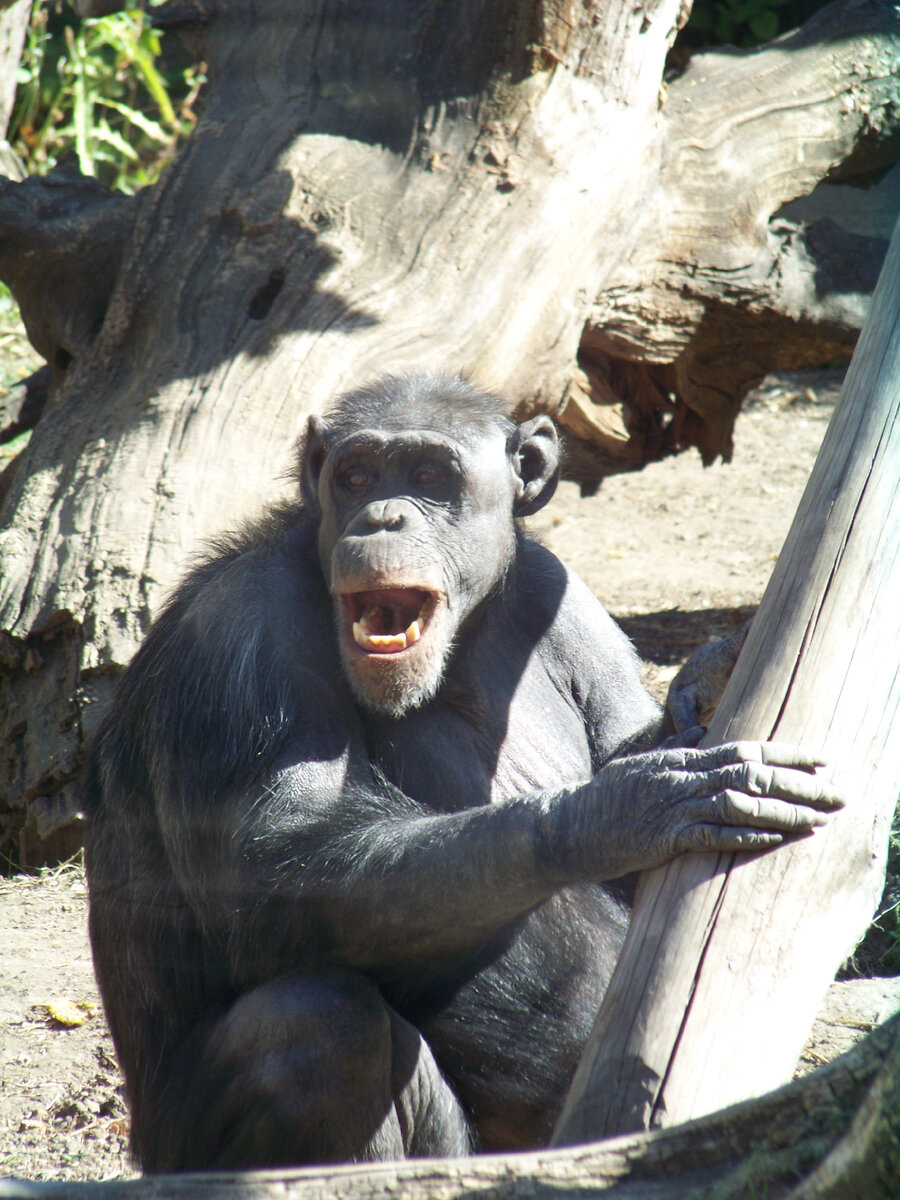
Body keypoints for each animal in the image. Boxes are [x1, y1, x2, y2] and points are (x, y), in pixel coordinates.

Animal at [86, 372, 844, 1171]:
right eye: (355, 477)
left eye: (428, 477)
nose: (382, 518)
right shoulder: (243, 637)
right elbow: (273, 858)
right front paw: (624, 809)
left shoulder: (560, 591)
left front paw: (713, 674)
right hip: (180, 1148)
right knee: (317, 1032)